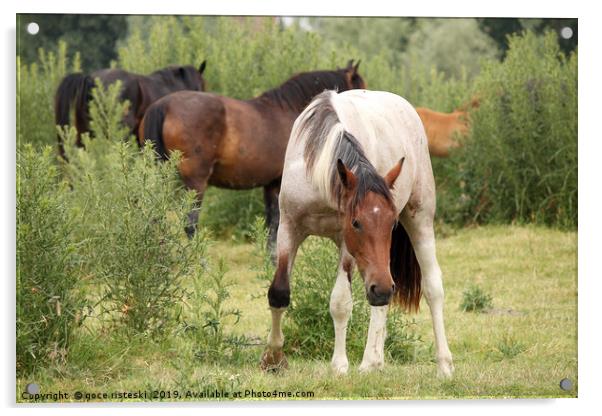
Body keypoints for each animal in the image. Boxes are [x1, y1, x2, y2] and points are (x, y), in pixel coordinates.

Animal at [139, 60, 366, 245]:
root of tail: (163, 106)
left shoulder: (270, 185)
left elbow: (271, 229)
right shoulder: (279, 184)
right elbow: (277, 228)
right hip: (195, 182)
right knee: (190, 224)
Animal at [260, 89, 452, 378]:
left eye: (392, 224)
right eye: (356, 222)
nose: (382, 289)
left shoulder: (345, 244)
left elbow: (340, 303)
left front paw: (339, 365)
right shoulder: (289, 228)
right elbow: (279, 291)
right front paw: (273, 358)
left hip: (420, 220)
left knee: (431, 288)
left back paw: (443, 364)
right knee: (382, 298)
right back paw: (374, 361)